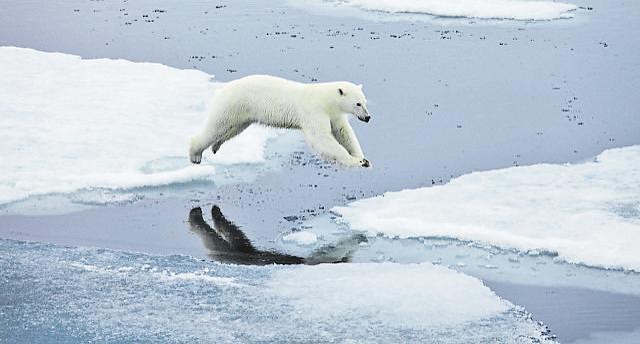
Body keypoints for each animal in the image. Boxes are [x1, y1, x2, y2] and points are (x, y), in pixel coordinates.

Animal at [188, 74, 372, 167]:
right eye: (358, 103)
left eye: (365, 102)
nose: (368, 117)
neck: (326, 100)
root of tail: (223, 89)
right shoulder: (313, 112)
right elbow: (321, 139)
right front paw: (355, 161)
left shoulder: (334, 114)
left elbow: (344, 133)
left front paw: (363, 158)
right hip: (233, 105)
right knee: (216, 126)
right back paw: (195, 154)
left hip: (243, 114)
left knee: (233, 129)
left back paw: (216, 146)